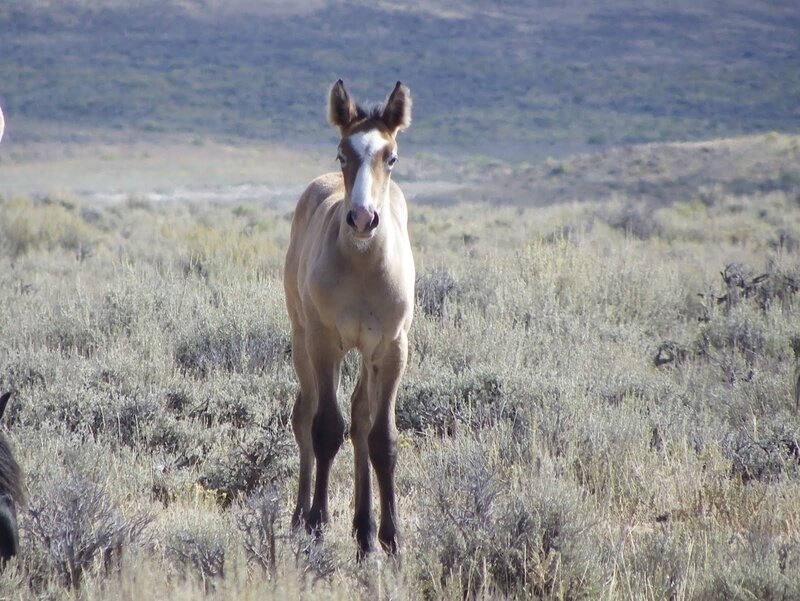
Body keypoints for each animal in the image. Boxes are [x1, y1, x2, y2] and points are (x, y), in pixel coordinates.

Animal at [283, 80, 414, 558]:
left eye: (391, 156)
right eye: (343, 153)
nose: (361, 218)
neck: (362, 269)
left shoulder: (391, 348)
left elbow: (381, 437)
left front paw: (390, 537)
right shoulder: (325, 344)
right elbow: (325, 428)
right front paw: (317, 523)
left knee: (360, 422)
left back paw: (364, 529)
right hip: (303, 341)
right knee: (304, 415)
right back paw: (300, 516)